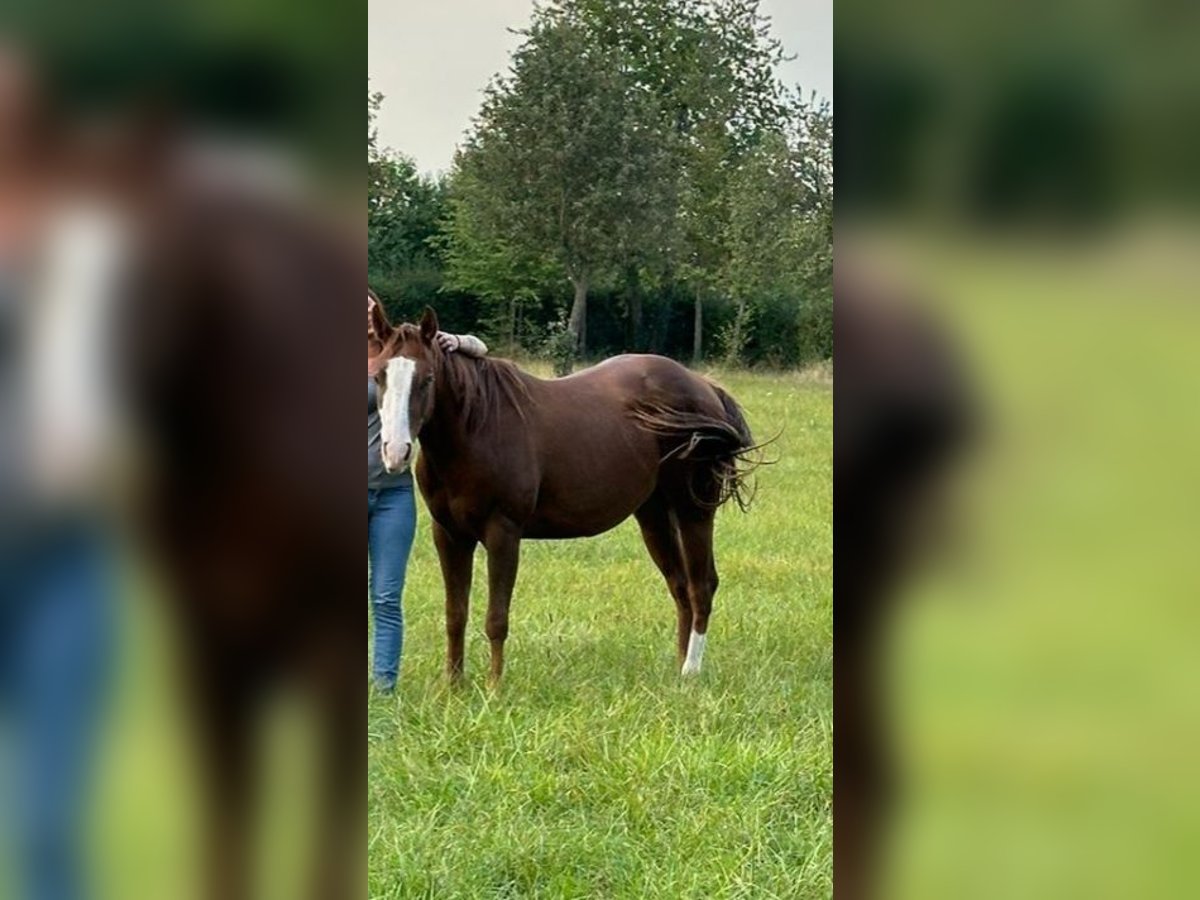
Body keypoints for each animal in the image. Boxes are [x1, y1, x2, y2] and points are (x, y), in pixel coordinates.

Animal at [367, 307, 758, 681]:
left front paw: (494, 687)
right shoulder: (449, 535)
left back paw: (691, 673)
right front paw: (453, 686)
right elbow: (455, 615)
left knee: (701, 587)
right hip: (654, 515)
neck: (477, 426)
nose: (395, 452)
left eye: (428, 378)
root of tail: (704, 387)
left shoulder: (502, 532)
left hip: (693, 511)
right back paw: (678, 672)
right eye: (379, 377)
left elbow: (496, 619)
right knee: (680, 587)